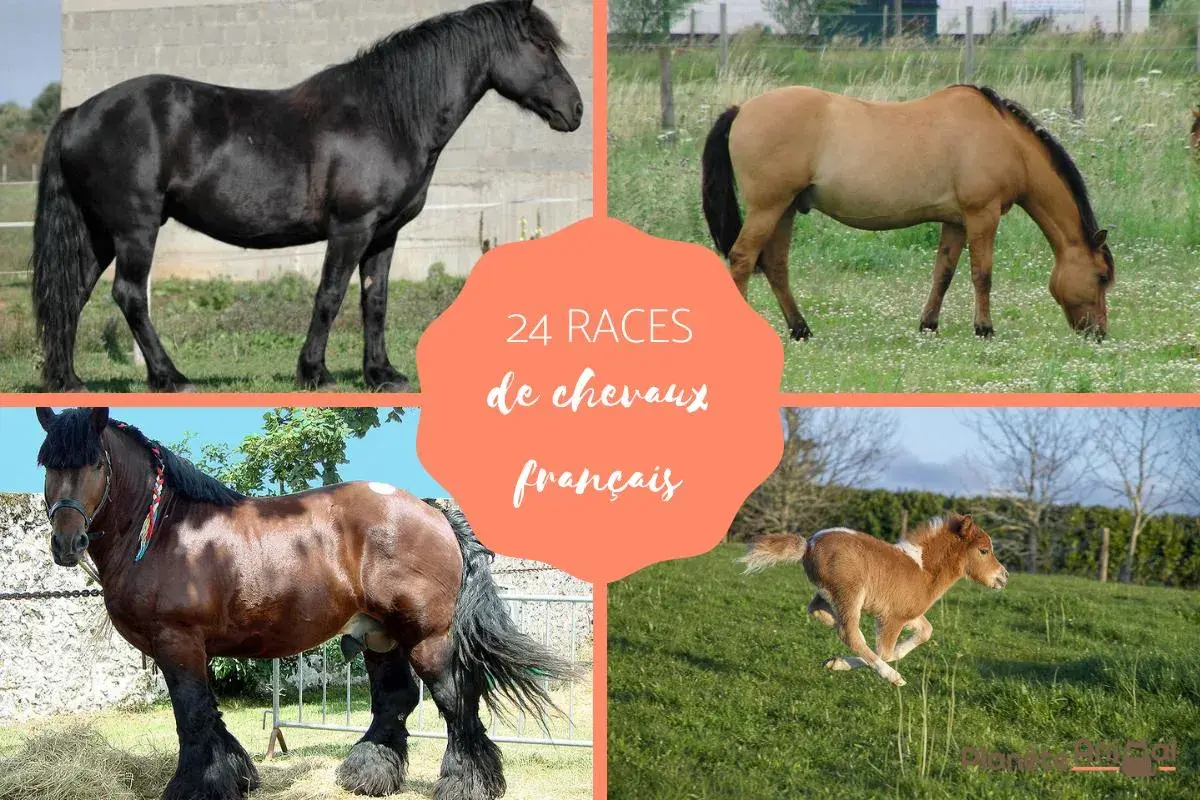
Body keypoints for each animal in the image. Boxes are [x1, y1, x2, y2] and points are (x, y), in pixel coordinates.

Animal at [32, 0, 583, 393]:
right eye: (540, 46)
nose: (575, 110)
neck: (385, 117)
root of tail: (78, 113)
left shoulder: (384, 234)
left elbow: (374, 300)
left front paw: (382, 374)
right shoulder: (351, 228)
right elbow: (330, 296)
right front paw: (315, 372)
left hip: (101, 233)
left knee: (72, 294)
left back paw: (70, 381)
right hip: (135, 229)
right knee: (129, 295)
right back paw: (170, 378)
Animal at [35, 406, 571, 800]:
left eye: (94, 463)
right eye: (47, 465)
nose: (66, 542)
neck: (168, 530)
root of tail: (433, 512)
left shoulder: (177, 642)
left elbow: (192, 717)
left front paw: (194, 787)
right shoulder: (195, 649)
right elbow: (211, 715)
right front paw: (235, 776)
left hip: (427, 637)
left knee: (455, 699)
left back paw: (465, 784)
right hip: (380, 634)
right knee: (395, 699)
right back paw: (369, 773)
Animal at [702, 84, 1114, 341]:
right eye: (1100, 276)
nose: (1099, 333)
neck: (1004, 138)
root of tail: (742, 110)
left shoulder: (956, 222)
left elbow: (944, 273)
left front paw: (929, 324)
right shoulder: (982, 215)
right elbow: (982, 274)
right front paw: (984, 328)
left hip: (785, 209)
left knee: (775, 266)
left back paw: (800, 329)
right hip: (768, 207)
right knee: (742, 259)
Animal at [739, 514, 1008, 687]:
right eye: (984, 551)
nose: (1004, 576)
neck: (924, 570)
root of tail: (809, 544)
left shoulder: (908, 613)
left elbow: (925, 632)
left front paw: (837, 662)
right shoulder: (892, 618)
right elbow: (884, 652)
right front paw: (849, 664)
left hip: (832, 593)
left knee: (818, 610)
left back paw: (834, 625)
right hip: (850, 593)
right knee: (849, 634)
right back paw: (891, 676)